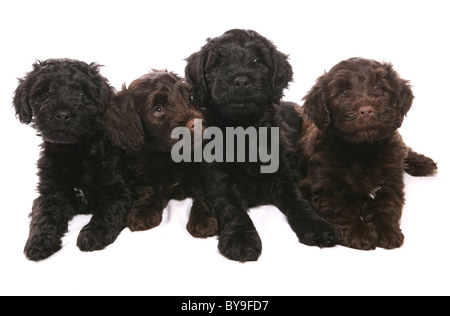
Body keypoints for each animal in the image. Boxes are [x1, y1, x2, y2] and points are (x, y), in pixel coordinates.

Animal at [12, 58, 132, 260]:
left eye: (82, 93)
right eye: (46, 92)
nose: (62, 114)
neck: (75, 151)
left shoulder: (118, 191)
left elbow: (108, 211)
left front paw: (93, 234)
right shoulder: (51, 192)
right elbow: (43, 214)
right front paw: (39, 241)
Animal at [105, 69, 218, 237]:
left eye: (190, 97)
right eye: (158, 109)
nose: (196, 123)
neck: (168, 156)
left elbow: (203, 194)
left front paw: (203, 219)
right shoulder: (137, 169)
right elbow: (148, 187)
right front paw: (142, 212)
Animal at [185, 29, 340, 262]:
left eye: (258, 60)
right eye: (220, 62)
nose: (241, 81)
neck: (243, 129)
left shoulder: (284, 176)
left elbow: (298, 201)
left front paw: (317, 226)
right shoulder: (220, 181)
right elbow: (233, 209)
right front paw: (241, 238)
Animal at [298, 56, 438, 249]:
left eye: (379, 87)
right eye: (343, 92)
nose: (366, 110)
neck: (361, 149)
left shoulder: (391, 180)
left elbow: (386, 205)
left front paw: (386, 230)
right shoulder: (318, 188)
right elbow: (341, 208)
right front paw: (359, 232)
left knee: (404, 150)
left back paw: (424, 163)